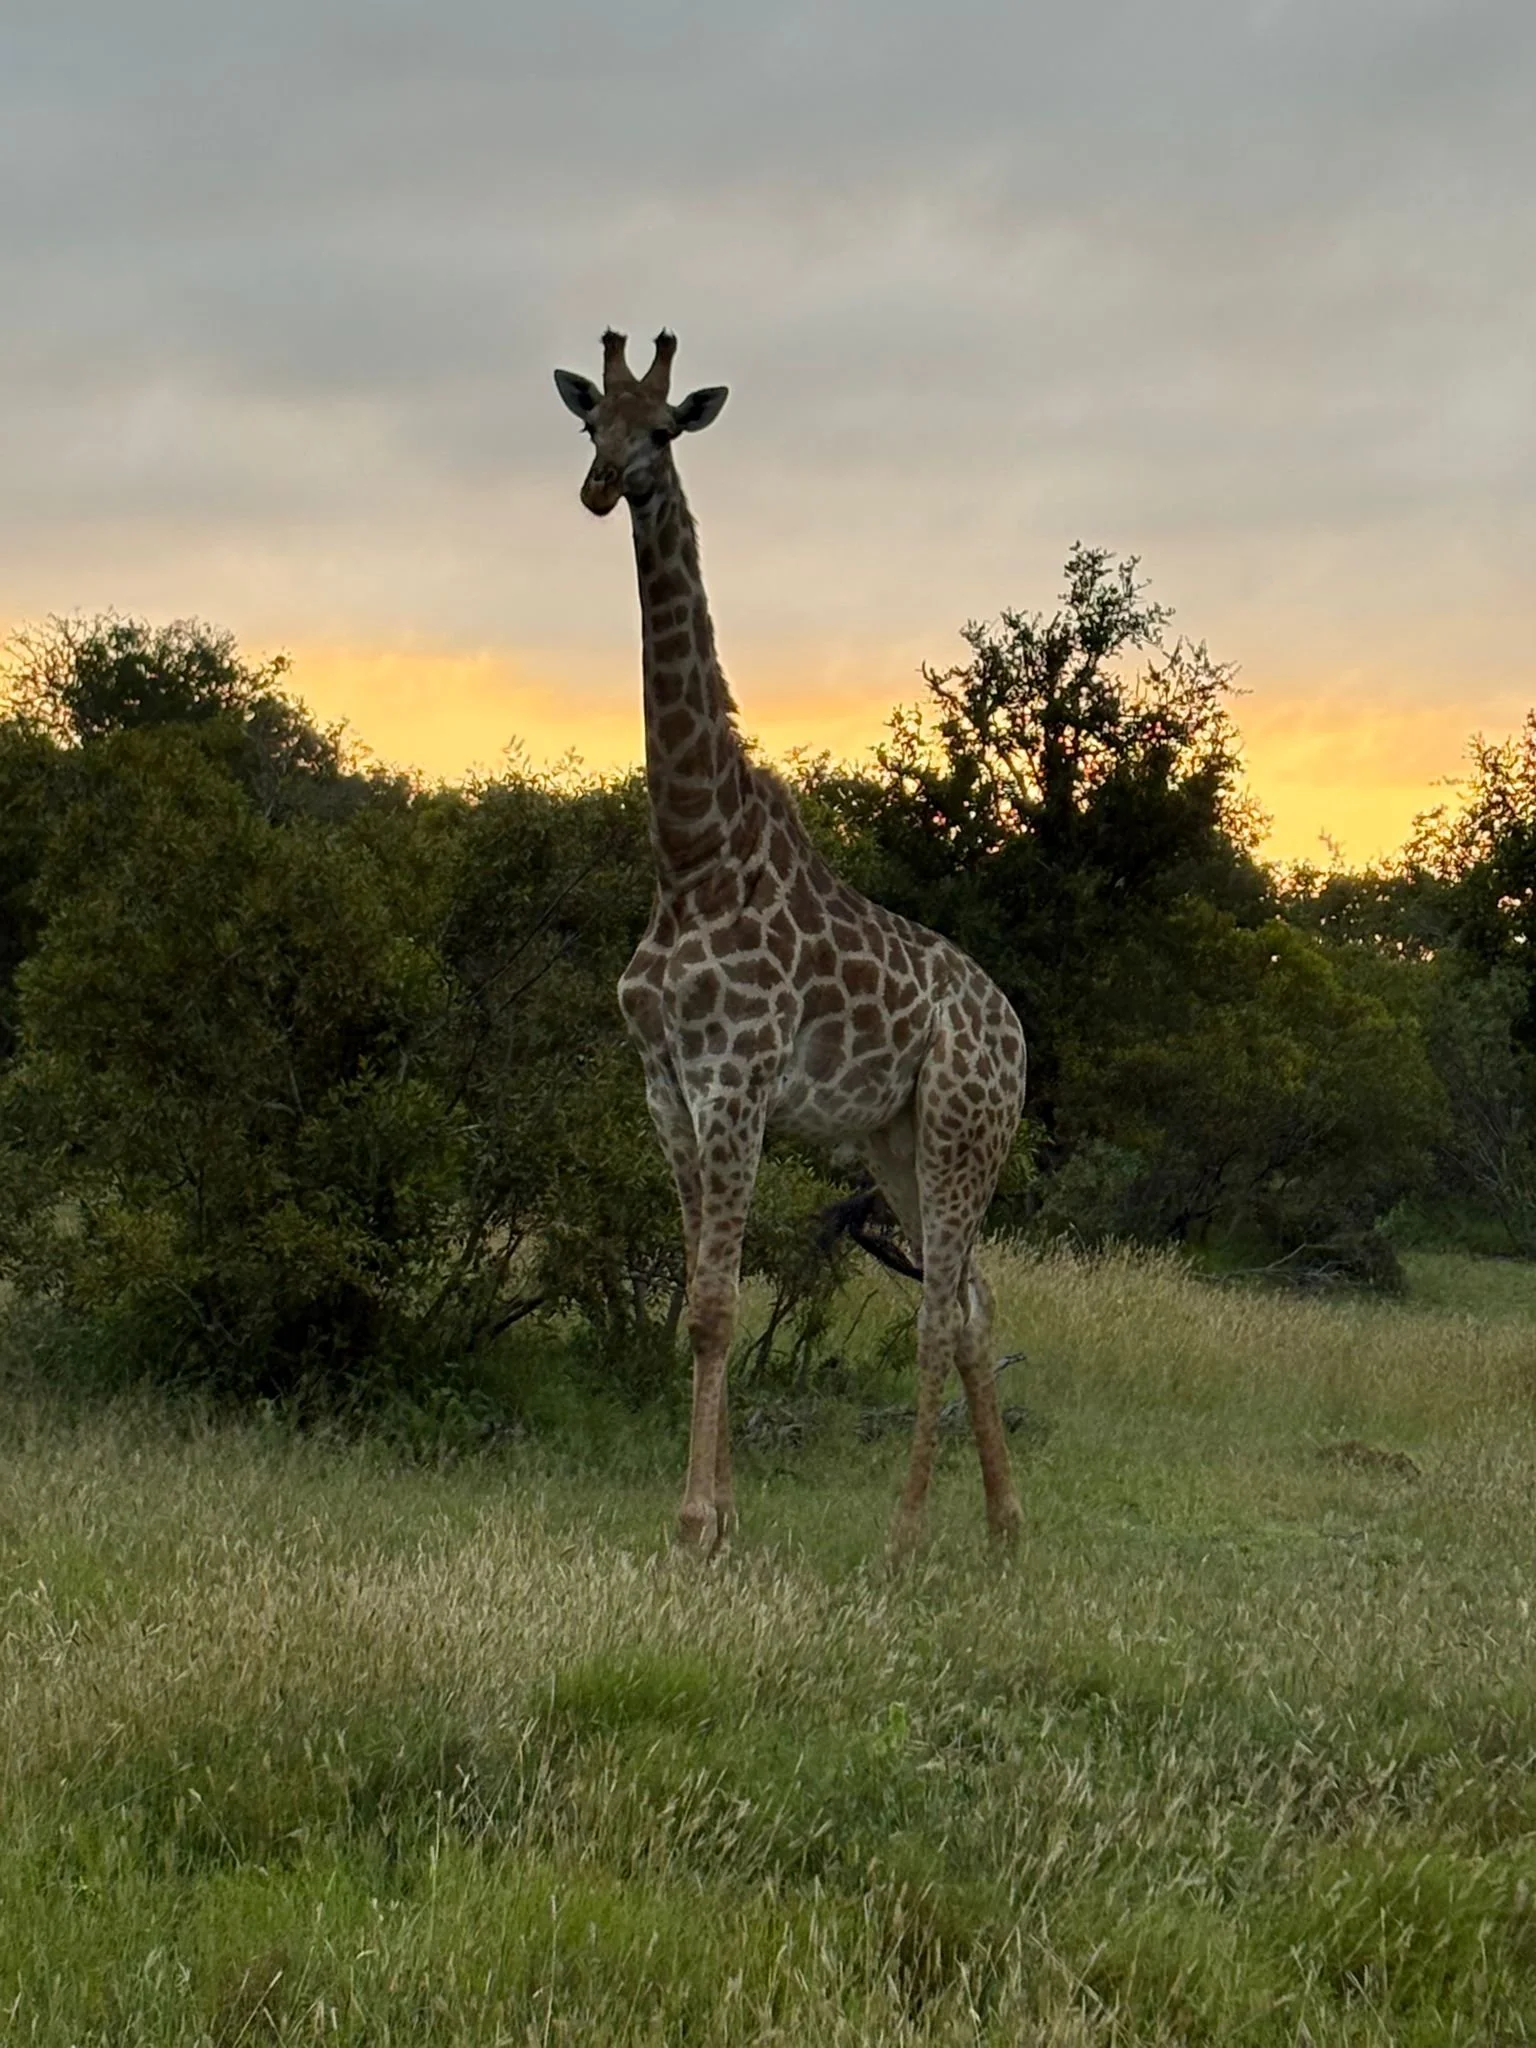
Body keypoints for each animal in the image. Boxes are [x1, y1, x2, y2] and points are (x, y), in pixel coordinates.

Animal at [554, 329, 1026, 1558]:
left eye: (664, 427)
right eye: (589, 422)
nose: (600, 487)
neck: (690, 853)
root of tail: (1018, 1037)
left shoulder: (737, 1077)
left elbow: (719, 1307)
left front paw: (695, 1525)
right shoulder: (667, 1084)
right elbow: (698, 1296)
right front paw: (719, 1515)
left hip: (962, 1131)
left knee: (936, 1311)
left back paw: (906, 1537)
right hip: (899, 1142)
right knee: (972, 1302)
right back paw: (1004, 1528)